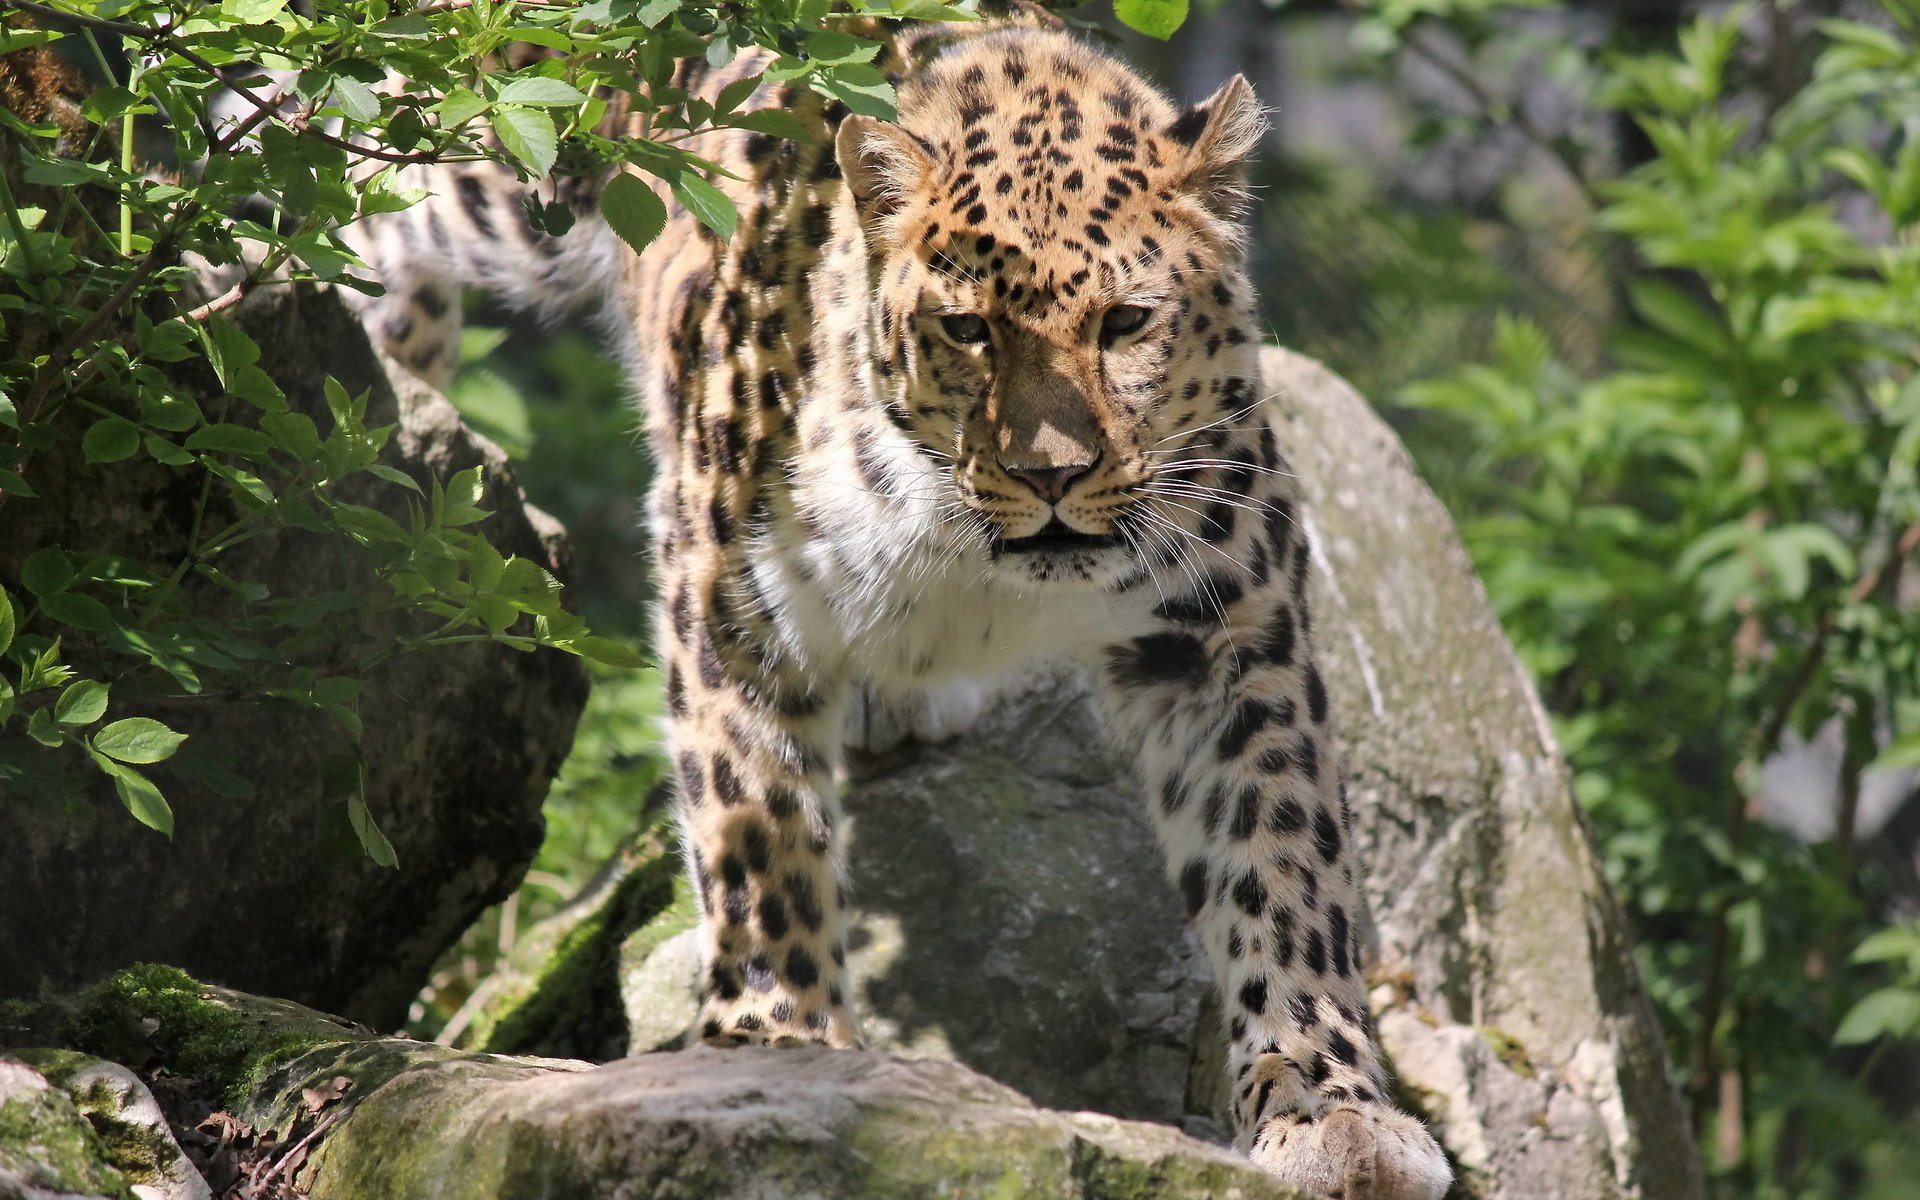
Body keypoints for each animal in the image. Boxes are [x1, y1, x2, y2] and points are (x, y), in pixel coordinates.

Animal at [344, 11, 1454, 1197]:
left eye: (1126, 321)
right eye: (967, 330)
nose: (1052, 474)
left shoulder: (1232, 628)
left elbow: (1282, 862)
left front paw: (1331, 1107)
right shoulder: (729, 590)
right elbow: (756, 828)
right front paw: (778, 1049)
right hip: (517, 161)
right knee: (380, 179)